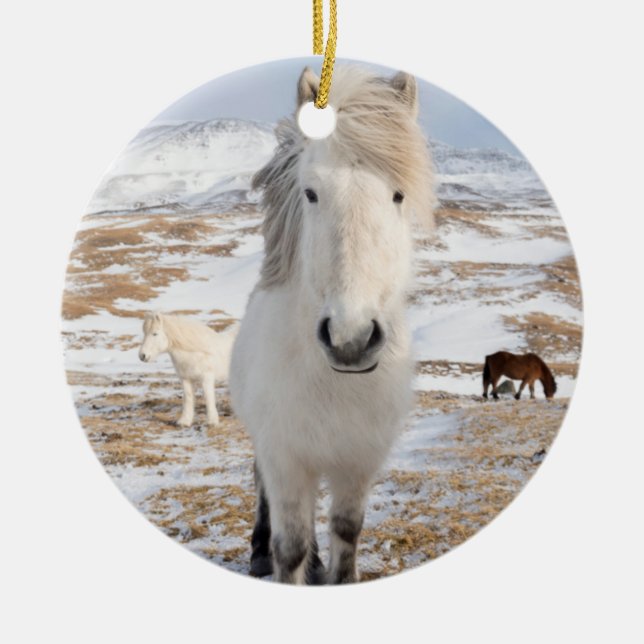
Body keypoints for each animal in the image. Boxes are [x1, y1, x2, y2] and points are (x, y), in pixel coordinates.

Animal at [229, 65, 436, 584]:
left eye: (398, 194)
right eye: (311, 192)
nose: (351, 339)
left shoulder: (357, 464)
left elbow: (346, 531)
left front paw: (335, 572)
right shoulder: (285, 460)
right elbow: (290, 548)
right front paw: (280, 560)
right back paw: (258, 552)